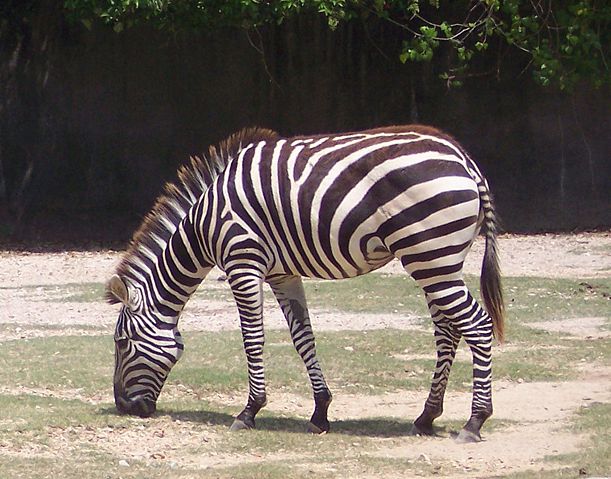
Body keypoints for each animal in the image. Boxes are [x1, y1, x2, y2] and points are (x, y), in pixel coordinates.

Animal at [106, 124, 506, 442]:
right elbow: (303, 337)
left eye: (121, 342)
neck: (204, 225)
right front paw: (320, 412)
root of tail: (464, 160)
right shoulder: (282, 273)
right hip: (437, 260)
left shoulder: (243, 261)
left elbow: (253, 339)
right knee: (448, 330)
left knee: (477, 325)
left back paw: (474, 421)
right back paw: (426, 416)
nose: (124, 407)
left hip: (431, 254)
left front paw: (249, 411)